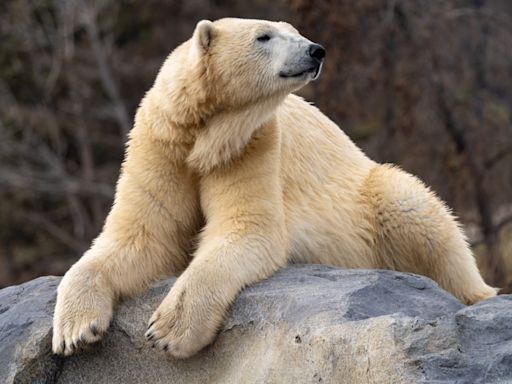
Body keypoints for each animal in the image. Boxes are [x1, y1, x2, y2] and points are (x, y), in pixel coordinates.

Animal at [52, 18, 496, 358]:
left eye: (294, 30)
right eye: (263, 35)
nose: (316, 50)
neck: (204, 136)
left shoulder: (252, 145)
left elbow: (248, 230)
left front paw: (168, 330)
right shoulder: (161, 146)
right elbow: (142, 236)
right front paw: (75, 330)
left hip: (371, 191)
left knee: (417, 212)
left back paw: (480, 296)